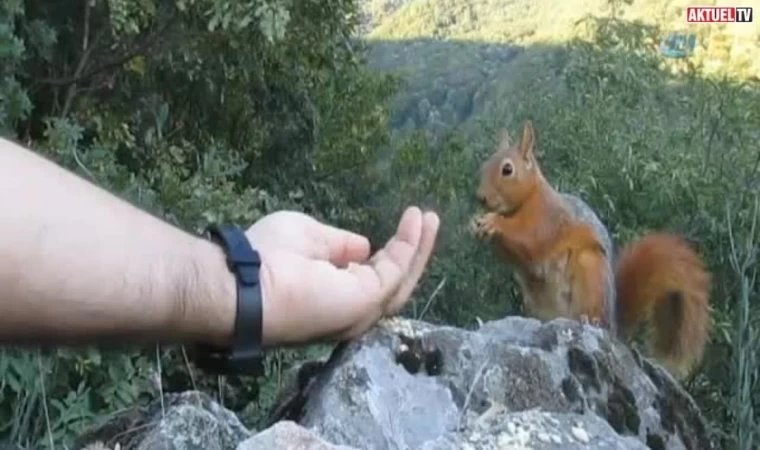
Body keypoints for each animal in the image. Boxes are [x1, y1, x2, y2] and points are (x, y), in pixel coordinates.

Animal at [472, 120, 716, 380]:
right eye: (484, 166)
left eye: (507, 170)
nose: (481, 197)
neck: (527, 200)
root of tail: (614, 328)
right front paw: (477, 223)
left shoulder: (547, 220)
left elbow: (529, 240)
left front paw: (493, 222)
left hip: (589, 271)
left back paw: (589, 320)